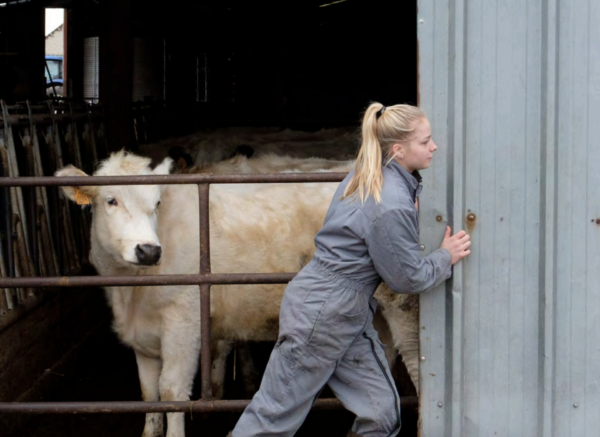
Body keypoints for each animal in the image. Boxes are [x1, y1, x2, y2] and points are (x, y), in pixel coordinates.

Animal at [58, 151, 420, 436]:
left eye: (156, 203)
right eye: (111, 200)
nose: (148, 250)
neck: (132, 291)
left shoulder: (183, 323)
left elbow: (172, 389)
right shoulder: (142, 335)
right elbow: (149, 394)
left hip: (404, 303)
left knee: (417, 364)